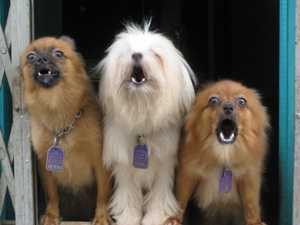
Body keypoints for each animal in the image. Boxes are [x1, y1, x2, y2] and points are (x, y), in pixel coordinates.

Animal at [20, 36, 111, 224]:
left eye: (58, 54)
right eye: (30, 57)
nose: (41, 59)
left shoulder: (100, 163)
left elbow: (103, 193)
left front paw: (101, 216)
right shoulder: (45, 163)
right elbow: (51, 193)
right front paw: (51, 215)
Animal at [96, 21, 197, 225]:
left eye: (156, 54)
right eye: (127, 52)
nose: (136, 55)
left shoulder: (165, 161)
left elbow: (160, 193)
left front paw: (156, 217)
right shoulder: (123, 163)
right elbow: (128, 193)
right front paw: (128, 218)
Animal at [165, 80, 268, 224]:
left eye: (241, 101)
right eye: (213, 100)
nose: (228, 107)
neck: (223, 155)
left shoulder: (249, 177)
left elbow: (251, 203)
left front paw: (254, 222)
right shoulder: (187, 174)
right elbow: (181, 198)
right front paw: (175, 218)